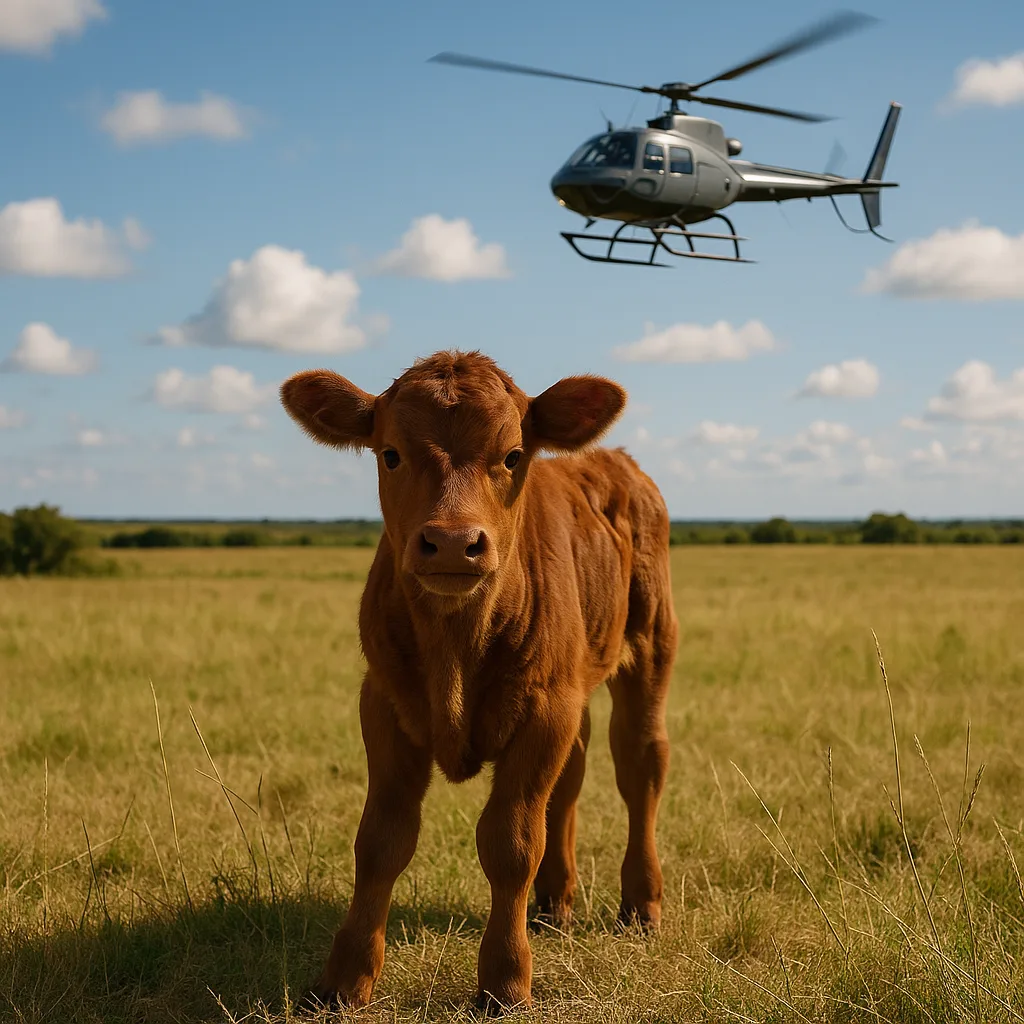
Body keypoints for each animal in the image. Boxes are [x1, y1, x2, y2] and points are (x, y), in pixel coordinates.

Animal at [280, 350, 677, 1012]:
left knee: (640, 765)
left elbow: (511, 841)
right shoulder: (384, 703)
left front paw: (506, 979)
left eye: (512, 455)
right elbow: (380, 841)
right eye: (390, 453)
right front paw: (346, 979)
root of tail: (616, 461)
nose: (451, 543)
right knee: (572, 779)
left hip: (650, 648)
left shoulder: (543, 710)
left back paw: (641, 905)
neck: (454, 652)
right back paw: (554, 905)